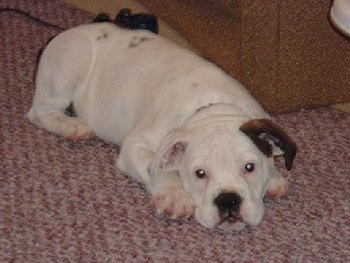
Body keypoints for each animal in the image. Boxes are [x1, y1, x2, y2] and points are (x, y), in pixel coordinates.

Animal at [27, 23, 296, 233]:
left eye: (250, 168)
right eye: (199, 174)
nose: (228, 200)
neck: (213, 107)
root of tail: (63, 34)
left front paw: (274, 177)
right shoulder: (136, 145)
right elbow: (158, 167)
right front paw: (174, 196)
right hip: (72, 60)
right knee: (39, 111)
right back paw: (71, 126)